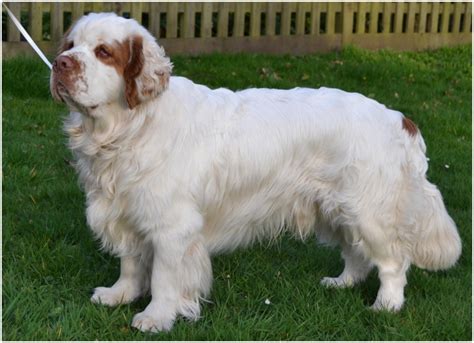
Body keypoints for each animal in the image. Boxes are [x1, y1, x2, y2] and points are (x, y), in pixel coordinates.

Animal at [50, 12, 462, 334]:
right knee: (356, 254)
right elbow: (132, 264)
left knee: (393, 262)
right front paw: (119, 295)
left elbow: (164, 277)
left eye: (104, 52)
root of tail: (399, 118)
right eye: (70, 44)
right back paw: (340, 283)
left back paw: (385, 306)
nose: (61, 64)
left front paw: (156, 317)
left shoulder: (172, 226)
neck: (128, 127)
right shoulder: (128, 210)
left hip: (368, 211)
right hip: (335, 208)